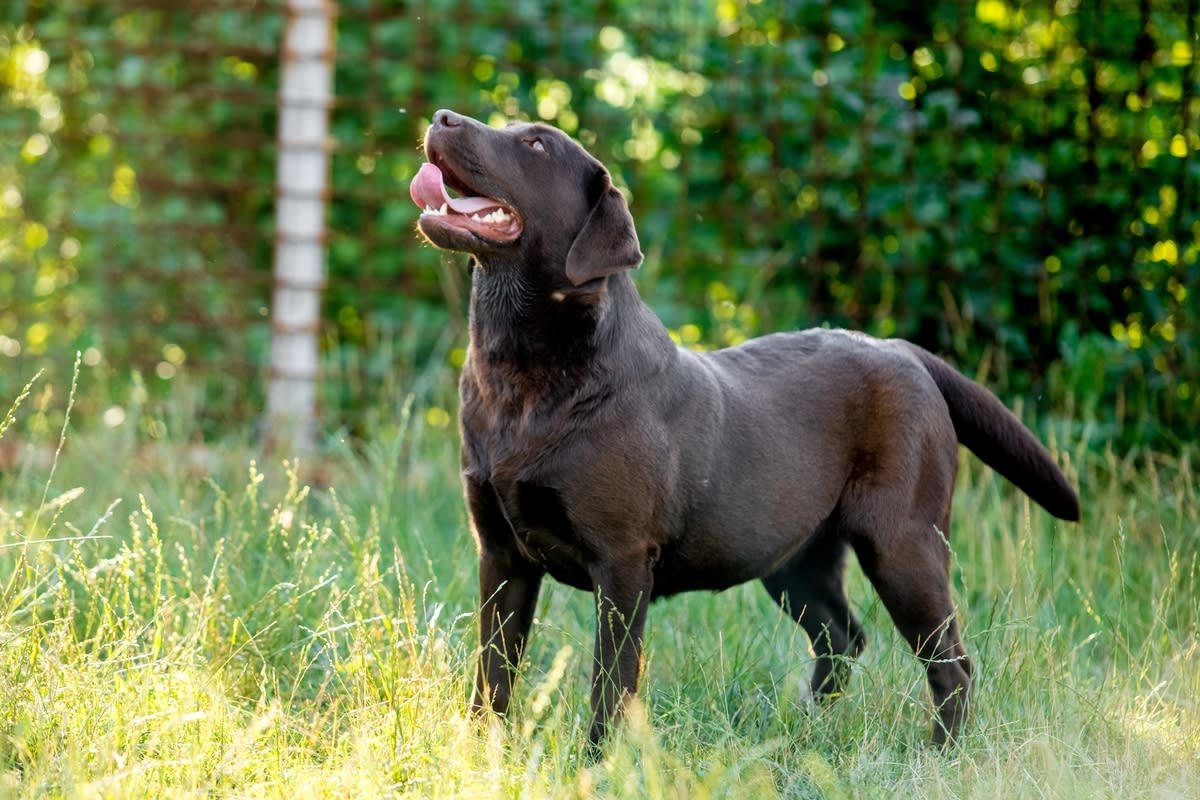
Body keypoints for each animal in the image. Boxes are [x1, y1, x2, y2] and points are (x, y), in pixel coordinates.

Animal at [410, 109, 1080, 748]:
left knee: (951, 664)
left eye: (536, 145)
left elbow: (611, 682)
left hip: (903, 545)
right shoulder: (501, 555)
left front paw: (596, 764)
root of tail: (899, 349)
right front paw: (481, 756)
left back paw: (938, 754)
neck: (523, 375)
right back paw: (804, 730)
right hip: (793, 558)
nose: (442, 117)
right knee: (842, 638)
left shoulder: (622, 563)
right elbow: (493, 673)